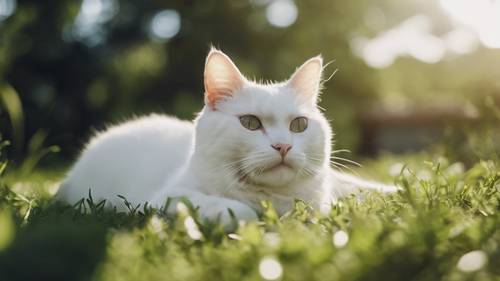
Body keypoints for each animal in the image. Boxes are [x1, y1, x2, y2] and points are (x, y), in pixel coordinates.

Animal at [57, 49, 394, 222]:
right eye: (250, 123)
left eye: (299, 125)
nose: (283, 146)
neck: (275, 199)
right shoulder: (164, 197)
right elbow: (234, 209)